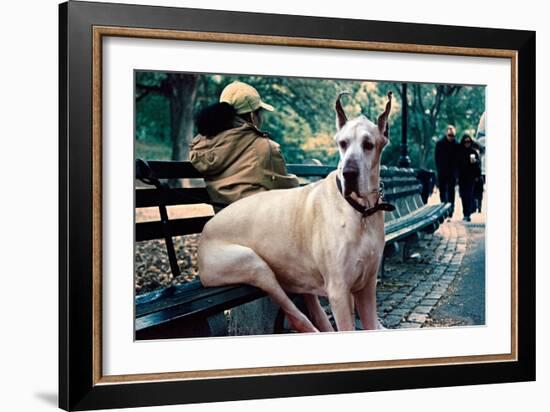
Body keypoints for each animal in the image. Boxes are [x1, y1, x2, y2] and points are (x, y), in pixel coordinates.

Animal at [201, 91, 394, 334]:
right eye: (342, 143)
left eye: (368, 145)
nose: (349, 173)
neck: (360, 211)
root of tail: (204, 232)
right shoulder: (339, 291)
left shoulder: (367, 286)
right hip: (254, 264)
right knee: (295, 314)